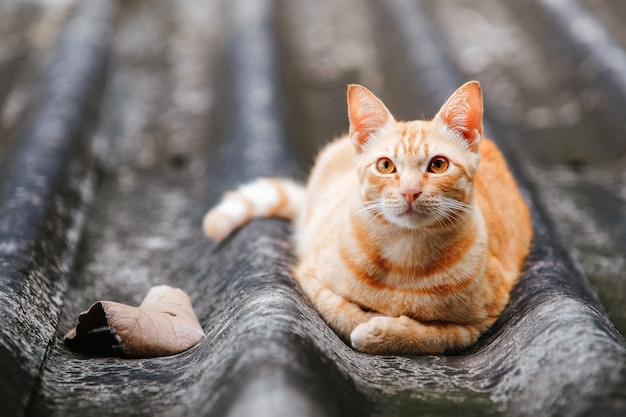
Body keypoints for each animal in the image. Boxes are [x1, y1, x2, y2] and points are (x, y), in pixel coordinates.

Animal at [202, 82, 528, 354]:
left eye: (438, 165)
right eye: (385, 166)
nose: (410, 192)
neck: (405, 257)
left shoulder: (481, 321)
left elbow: (436, 336)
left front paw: (384, 332)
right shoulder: (310, 275)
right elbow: (342, 313)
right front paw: (366, 324)